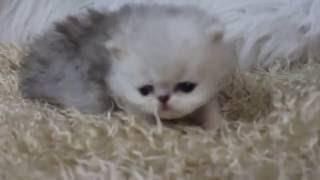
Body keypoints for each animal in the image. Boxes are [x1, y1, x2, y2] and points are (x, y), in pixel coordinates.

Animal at [19, 3, 235, 129]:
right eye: (145, 90)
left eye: (188, 87)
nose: (164, 99)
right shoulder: (125, 97)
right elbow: (143, 114)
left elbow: (208, 105)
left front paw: (215, 126)